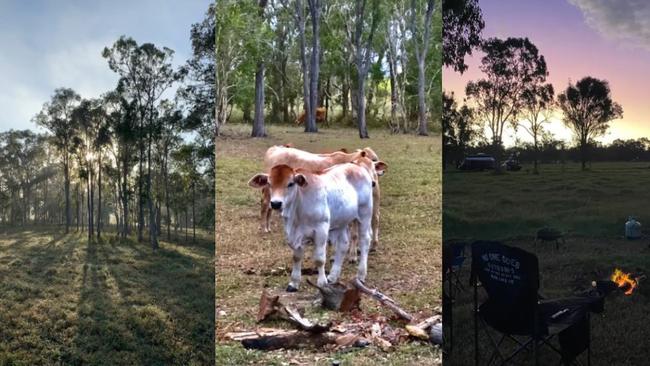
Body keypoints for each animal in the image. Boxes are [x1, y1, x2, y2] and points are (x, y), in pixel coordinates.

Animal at [248, 163, 372, 292]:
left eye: (291, 183)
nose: (276, 203)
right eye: (269, 183)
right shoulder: (295, 234)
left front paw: (322, 282)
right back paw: (333, 276)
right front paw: (294, 283)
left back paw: (361, 275)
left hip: (365, 214)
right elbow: (296, 257)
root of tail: (356, 166)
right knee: (343, 244)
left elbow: (319, 259)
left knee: (365, 241)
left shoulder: (321, 230)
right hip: (342, 221)